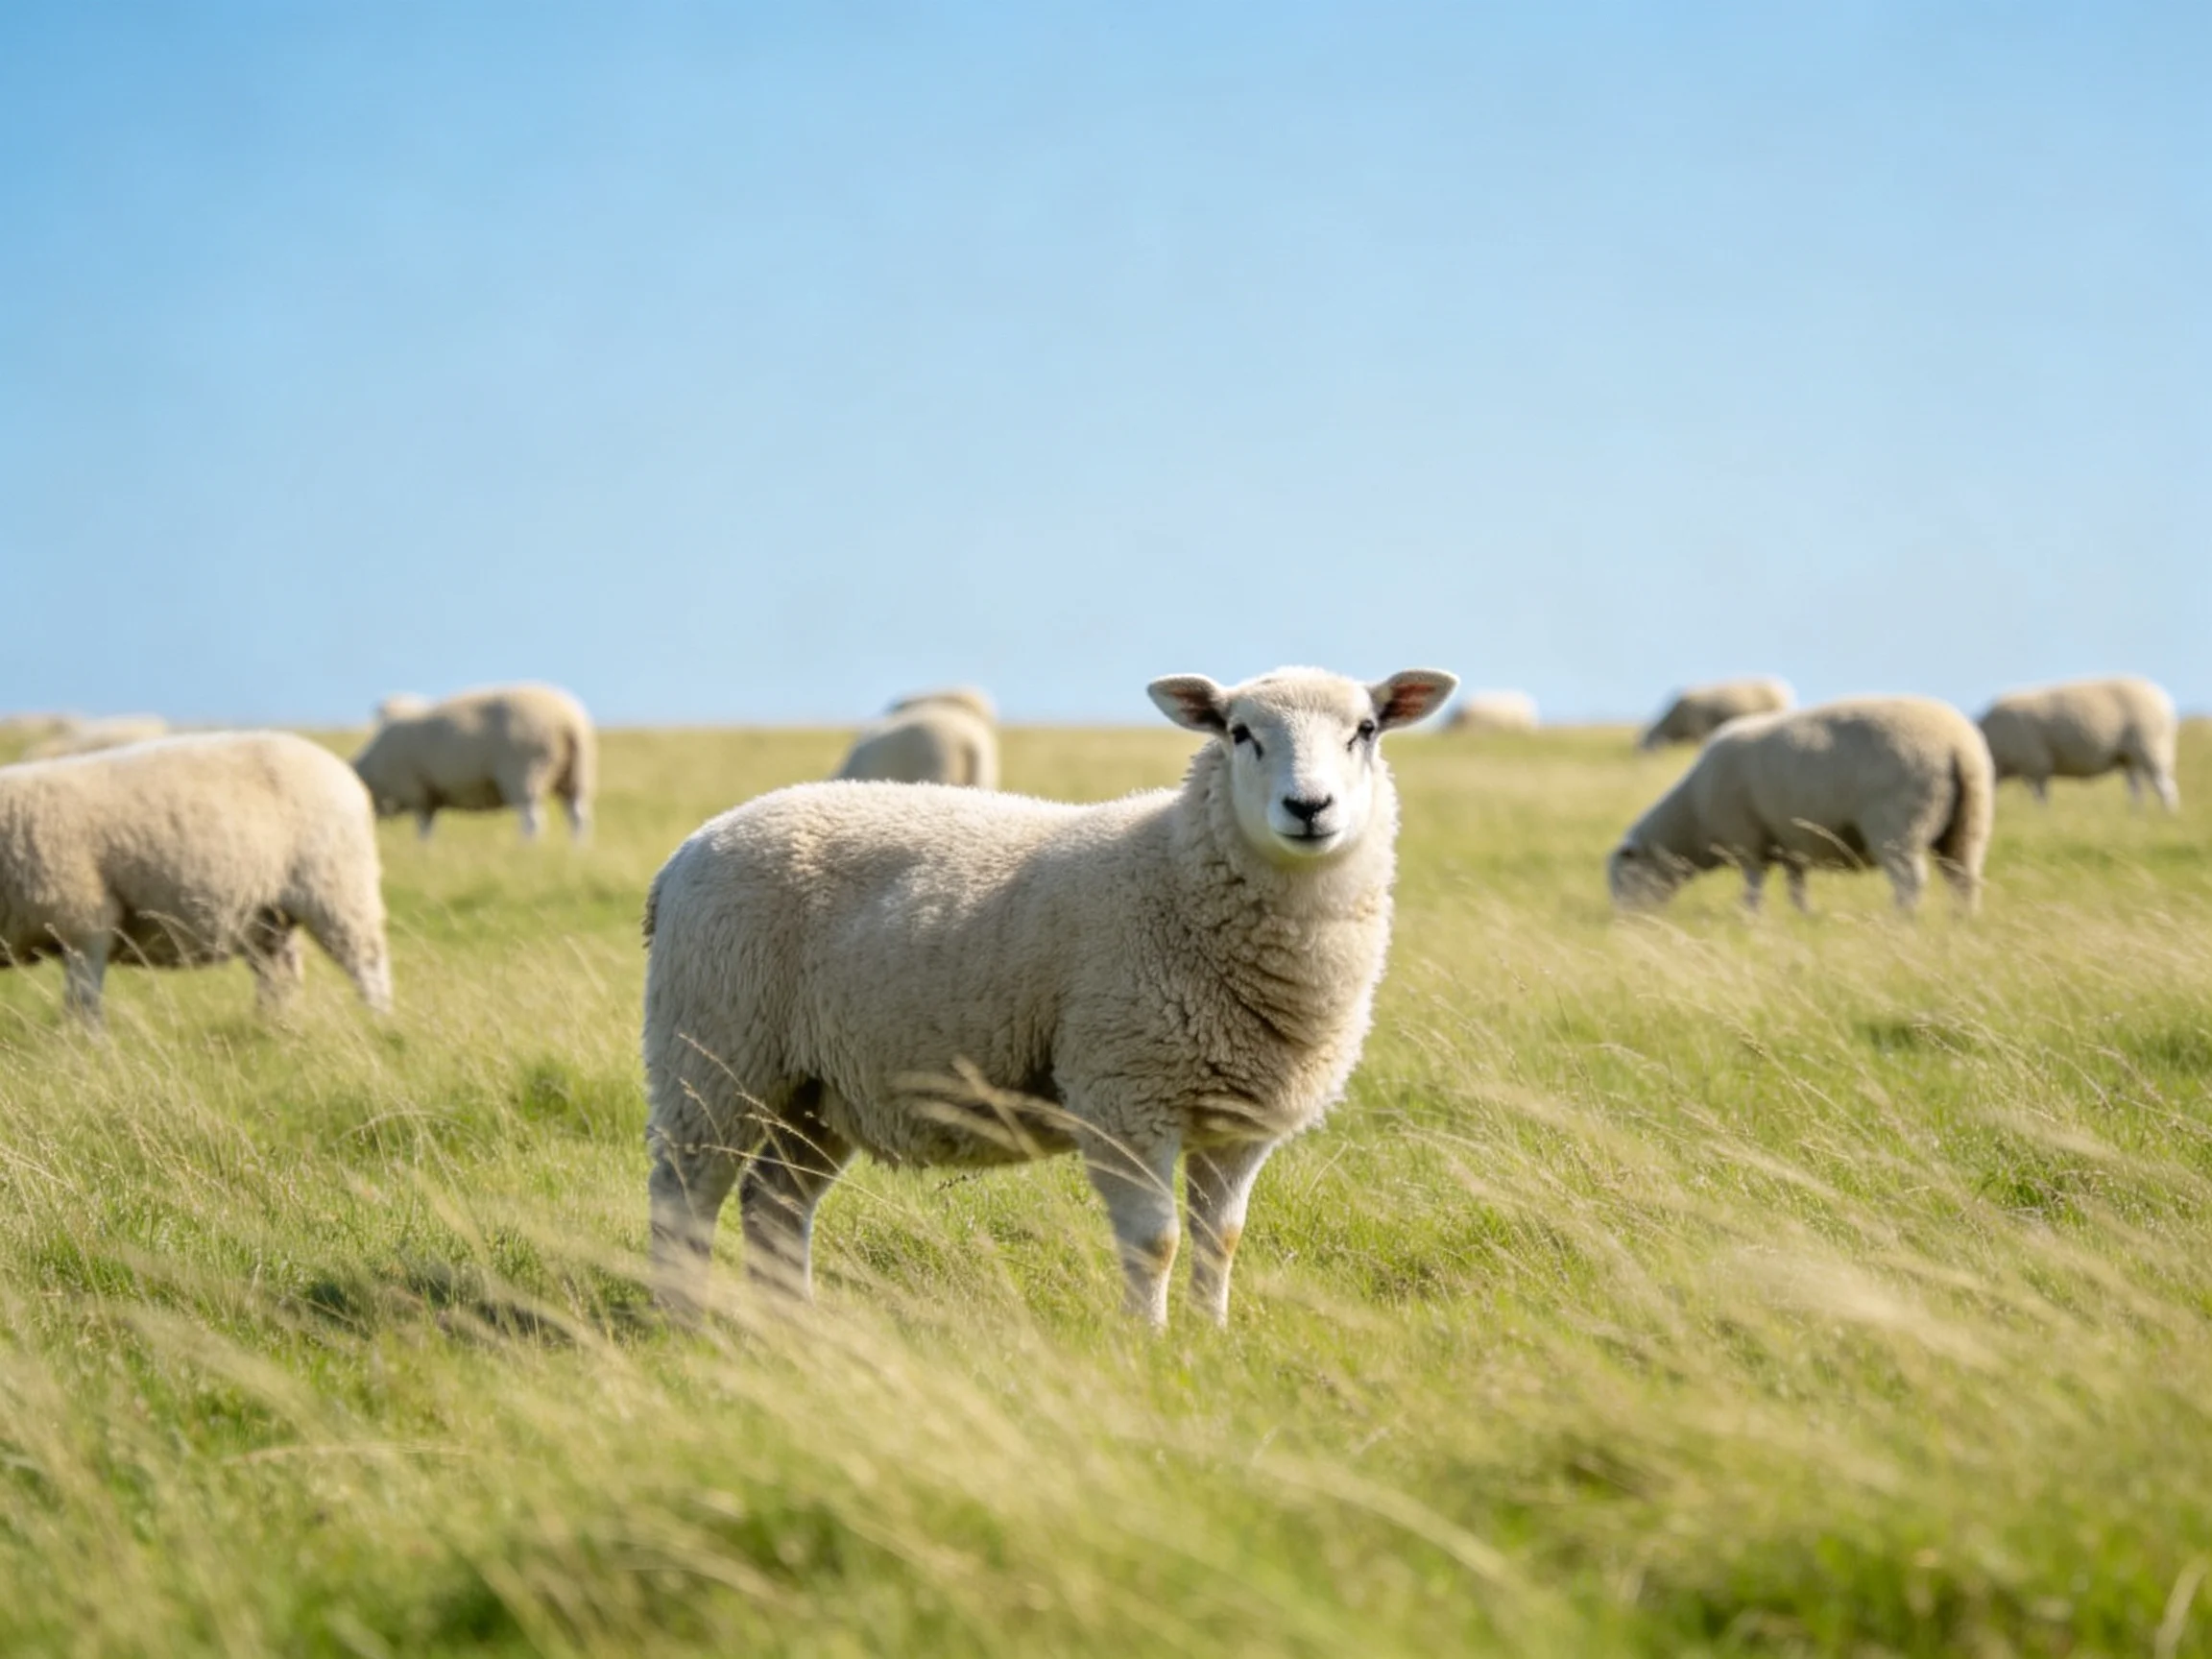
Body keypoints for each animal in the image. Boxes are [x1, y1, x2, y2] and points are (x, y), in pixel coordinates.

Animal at [0, 732, 392, 1022]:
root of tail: (343, 773)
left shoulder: (84, 923)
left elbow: (82, 1002)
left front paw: (86, 1049)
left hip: (337, 888)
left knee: (367, 965)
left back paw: (378, 1023)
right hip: (264, 915)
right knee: (279, 975)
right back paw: (273, 1028)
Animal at [352, 683, 596, 841]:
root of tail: (568, 722)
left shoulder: (417, 791)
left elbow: (423, 829)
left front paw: (422, 852)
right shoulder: (430, 794)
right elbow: (429, 827)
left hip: (526, 772)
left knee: (532, 820)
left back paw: (527, 849)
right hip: (576, 773)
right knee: (578, 817)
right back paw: (577, 850)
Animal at [1608, 695, 1993, 916]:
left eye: (1622, 879)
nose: (1623, 923)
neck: (1693, 820)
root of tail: (1957, 746)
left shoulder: (1746, 837)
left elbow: (1753, 882)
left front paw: (1750, 916)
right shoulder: (1788, 839)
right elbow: (1796, 883)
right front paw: (1803, 914)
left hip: (1898, 821)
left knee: (1910, 880)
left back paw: (1901, 920)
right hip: (1968, 821)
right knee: (1965, 876)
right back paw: (1962, 920)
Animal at [1977, 676, 2179, 810]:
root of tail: (2163, 699)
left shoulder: (2036, 763)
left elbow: (2040, 794)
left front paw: (2042, 816)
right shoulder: (2032, 766)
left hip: (2151, 748)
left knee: (2165, 787)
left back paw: (2168, 814)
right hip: (2129, 757)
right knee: (2137, 789)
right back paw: (2136, 814)